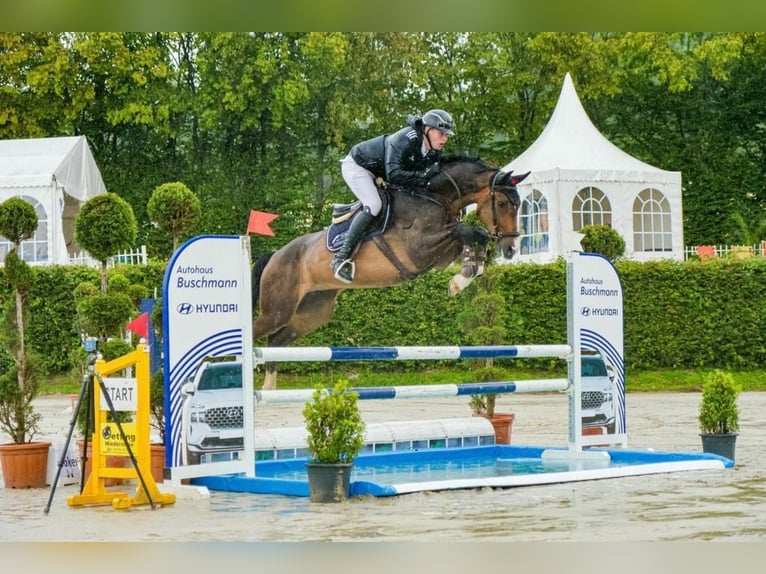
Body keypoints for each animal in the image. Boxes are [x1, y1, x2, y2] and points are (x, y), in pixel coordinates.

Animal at [252, 156, 528, 392]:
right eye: (502, 203)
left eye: (519, 205)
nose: (510, 249)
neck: (434, 197)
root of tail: (275, 254)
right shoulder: (416, 250)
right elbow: (464, 230)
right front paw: (460, 280)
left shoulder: (440, 252)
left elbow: (473, 235)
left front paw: (467, 273)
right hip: (278, 309)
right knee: (259, 333)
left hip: (311, 313)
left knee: (275, 342)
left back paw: (268, 388)